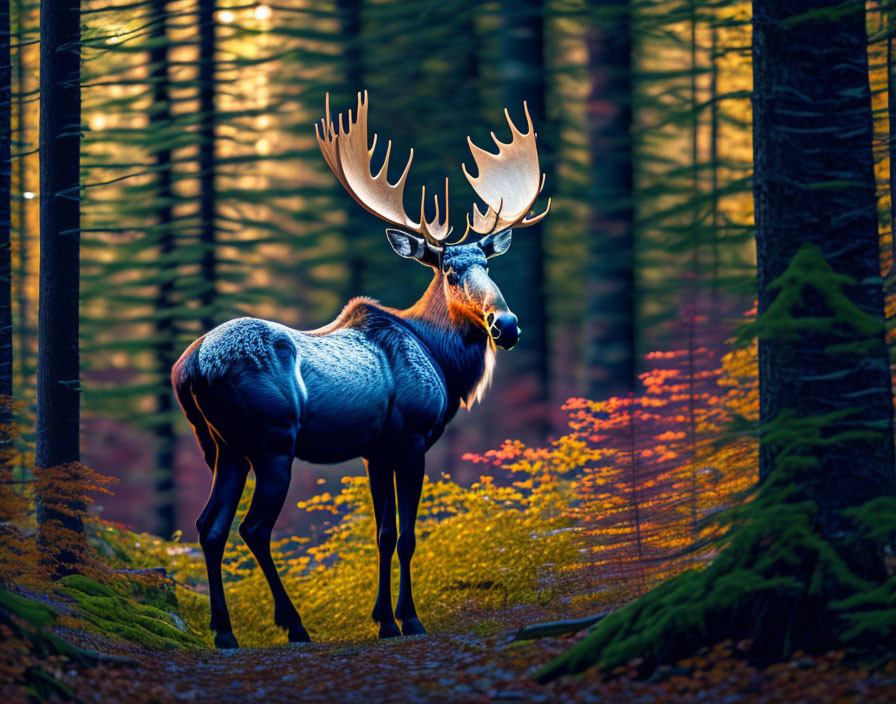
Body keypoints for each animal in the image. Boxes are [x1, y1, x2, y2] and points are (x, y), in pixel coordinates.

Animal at [168, 92, 544, 648]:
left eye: (488, 264)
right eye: (449, 269)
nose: (508, 324)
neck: (443, 362)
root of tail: (187, 369)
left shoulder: (375, 448)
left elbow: (382, 534)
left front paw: (384, 620)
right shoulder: (411, 436)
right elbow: (407, 536)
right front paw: (410, 619)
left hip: (222, 447)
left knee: (207, 527)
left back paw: (225, 633)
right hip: (271, 440)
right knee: (252, 529)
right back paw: (294, 625)